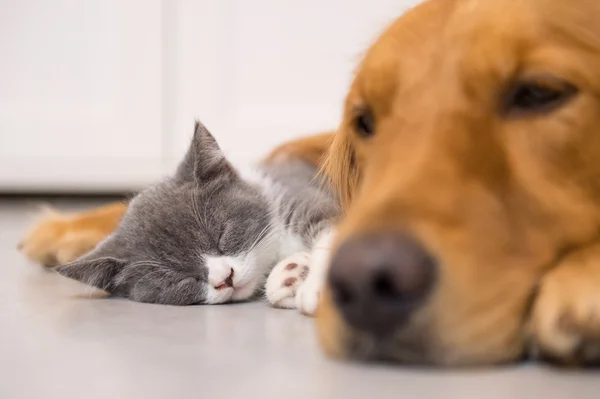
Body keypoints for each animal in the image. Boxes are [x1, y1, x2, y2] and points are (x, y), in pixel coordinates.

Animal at [57, 122, 338, 306]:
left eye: (222, 235)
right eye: (177, 278)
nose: (226, 278)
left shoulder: (300, 195)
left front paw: (313, 286)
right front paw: (292, 276)